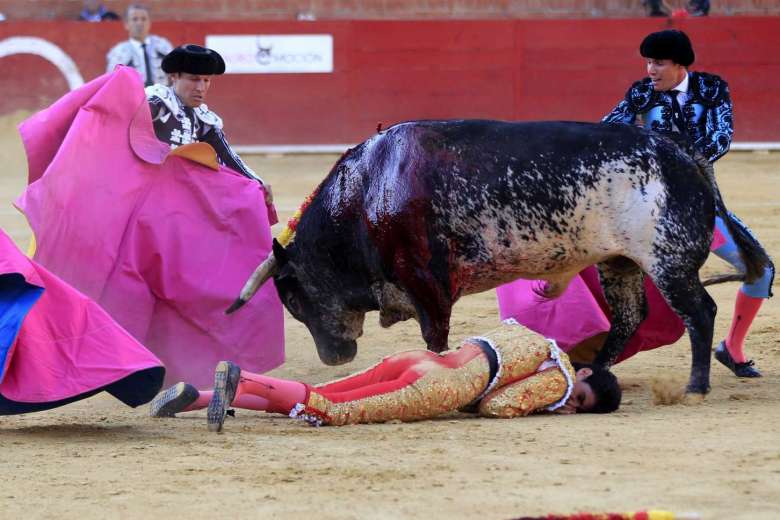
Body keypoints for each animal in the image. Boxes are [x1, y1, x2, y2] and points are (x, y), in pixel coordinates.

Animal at [229, 119, 772, 394]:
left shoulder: (426, 279)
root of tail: (685, 154)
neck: (368, 191)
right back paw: (594, 372)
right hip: (620, 262)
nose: (334, 356)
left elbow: (435, 335)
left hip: (668, 260)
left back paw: (697, 384)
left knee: (700, 312)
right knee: (629, 317)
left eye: (292, 299)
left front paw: (442, 371)